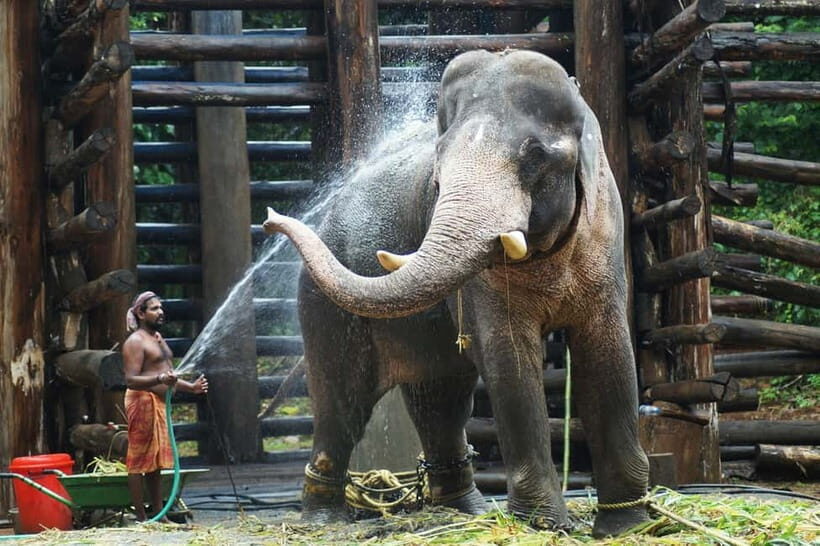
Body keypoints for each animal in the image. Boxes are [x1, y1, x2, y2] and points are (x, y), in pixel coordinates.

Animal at [263, 49, 650, 537]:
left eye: (535, 155)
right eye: (438, 163)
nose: (270, 219)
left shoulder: (606, 235)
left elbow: (610, 354)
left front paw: (630, 526)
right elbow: (509, 358)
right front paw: (545, 526)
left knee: (441, 396)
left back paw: (465, 510)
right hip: (321, 304)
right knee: (343, 401)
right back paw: (322, 519)